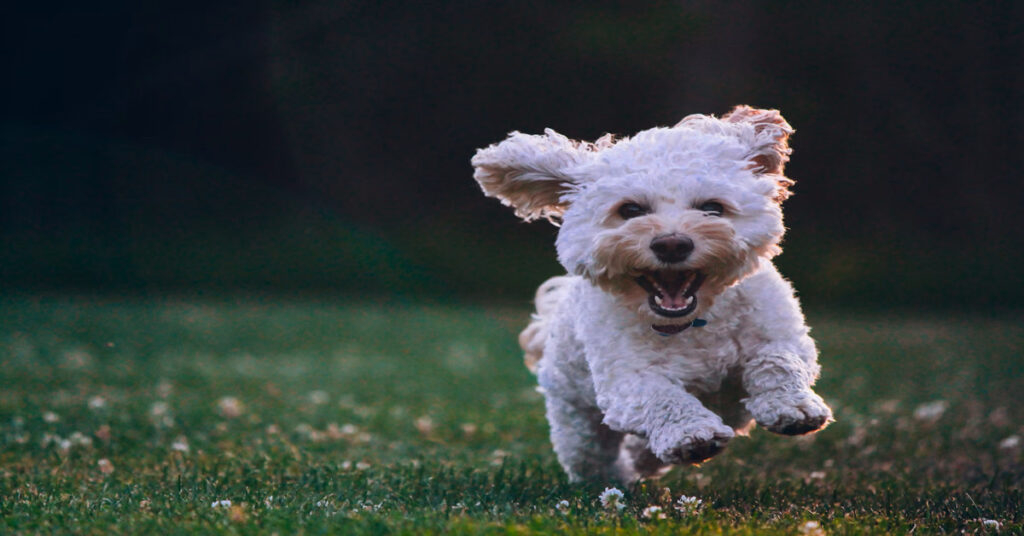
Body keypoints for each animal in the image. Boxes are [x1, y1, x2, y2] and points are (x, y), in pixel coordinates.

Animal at [475, 105, 835, 481]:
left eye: (712, 208)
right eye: (631, 210)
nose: (672, 244)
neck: (694, 322)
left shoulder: (780, 334)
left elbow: (778, 361)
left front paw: (792, 407)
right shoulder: (627, 379)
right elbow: (662, 397)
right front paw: (692, 433)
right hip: (575, 418)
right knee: (591, 455)